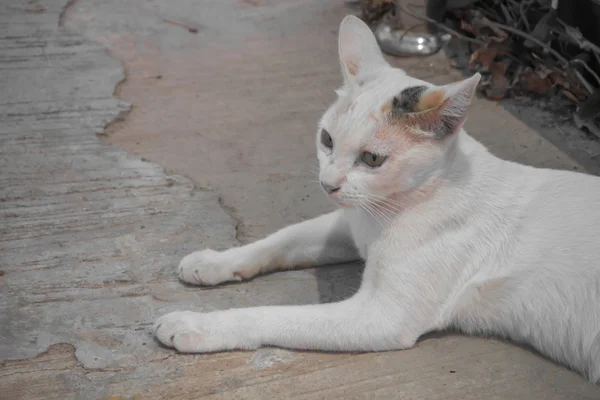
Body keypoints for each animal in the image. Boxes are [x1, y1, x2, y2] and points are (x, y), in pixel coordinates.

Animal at [154, 14, 600, 382]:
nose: (327, 183)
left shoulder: (380, 315)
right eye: (326, 139)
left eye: (371, 159)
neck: (393, 208)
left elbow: (273, 315)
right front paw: (214, 261)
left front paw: (197, 325)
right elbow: (280, 239)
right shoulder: (348, 222)